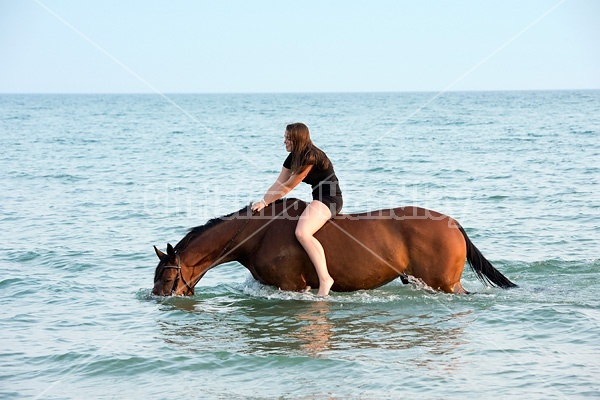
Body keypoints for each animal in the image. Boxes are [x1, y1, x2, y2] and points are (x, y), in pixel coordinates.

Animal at [154, 198, 516, 296]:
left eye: (168, 278)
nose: (157, 298)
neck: (256, 235)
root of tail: (453, 223)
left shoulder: (290, 286)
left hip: (444, 284)